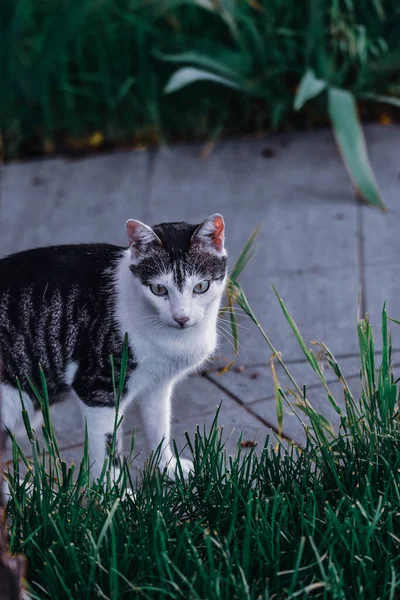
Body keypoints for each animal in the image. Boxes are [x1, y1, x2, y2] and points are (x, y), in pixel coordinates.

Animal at [0, 213, 228, 486]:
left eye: (201, 287)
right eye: (159, 289)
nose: (181, 317)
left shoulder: (158, 385)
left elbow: (158, 426)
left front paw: (169, 468)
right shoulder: (98, 390)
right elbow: (107, 450)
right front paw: (115, 494)